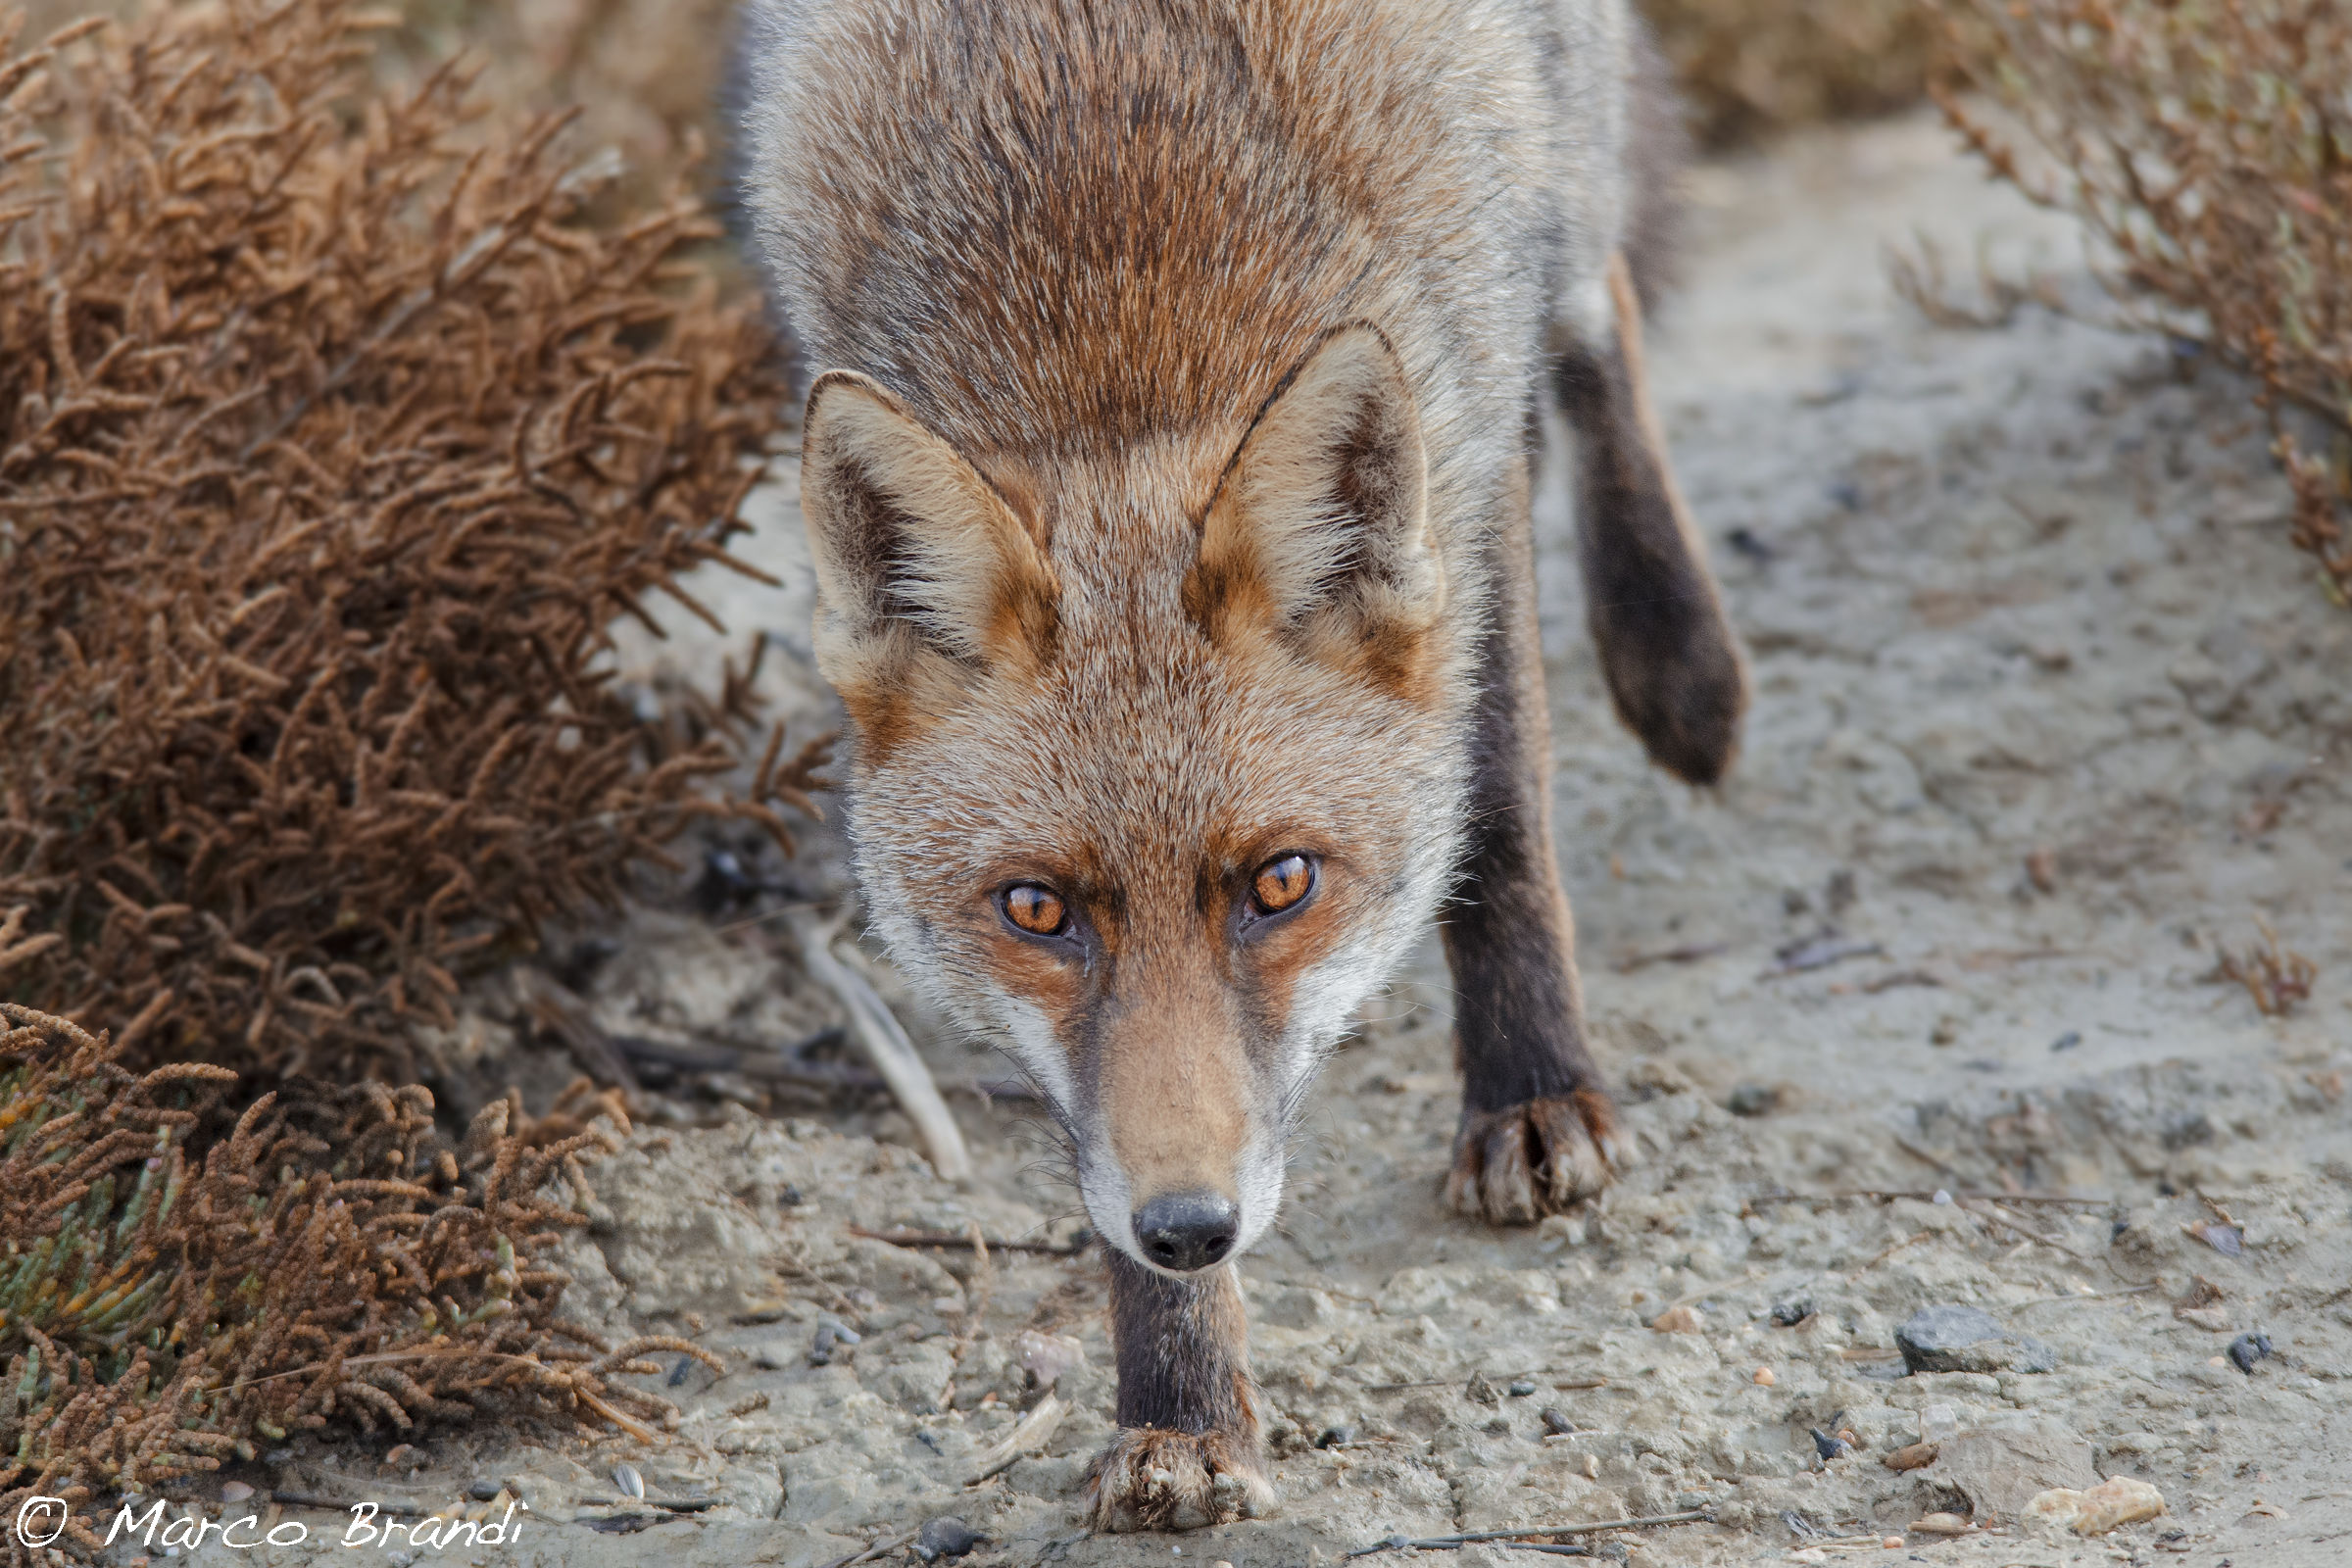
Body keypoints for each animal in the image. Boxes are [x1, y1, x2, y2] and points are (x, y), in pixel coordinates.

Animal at [736, 0, 1746, 1533]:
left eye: (1282, 883)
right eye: (1036, 910)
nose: (1192, 1225)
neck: (1119, 334)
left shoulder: (1464, 485)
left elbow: (1498, 814)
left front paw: (1529, 1089)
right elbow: (1105, 1167)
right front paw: (1183, 1407)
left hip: (1555, 179)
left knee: (1597, 302)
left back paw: (1680, 662)